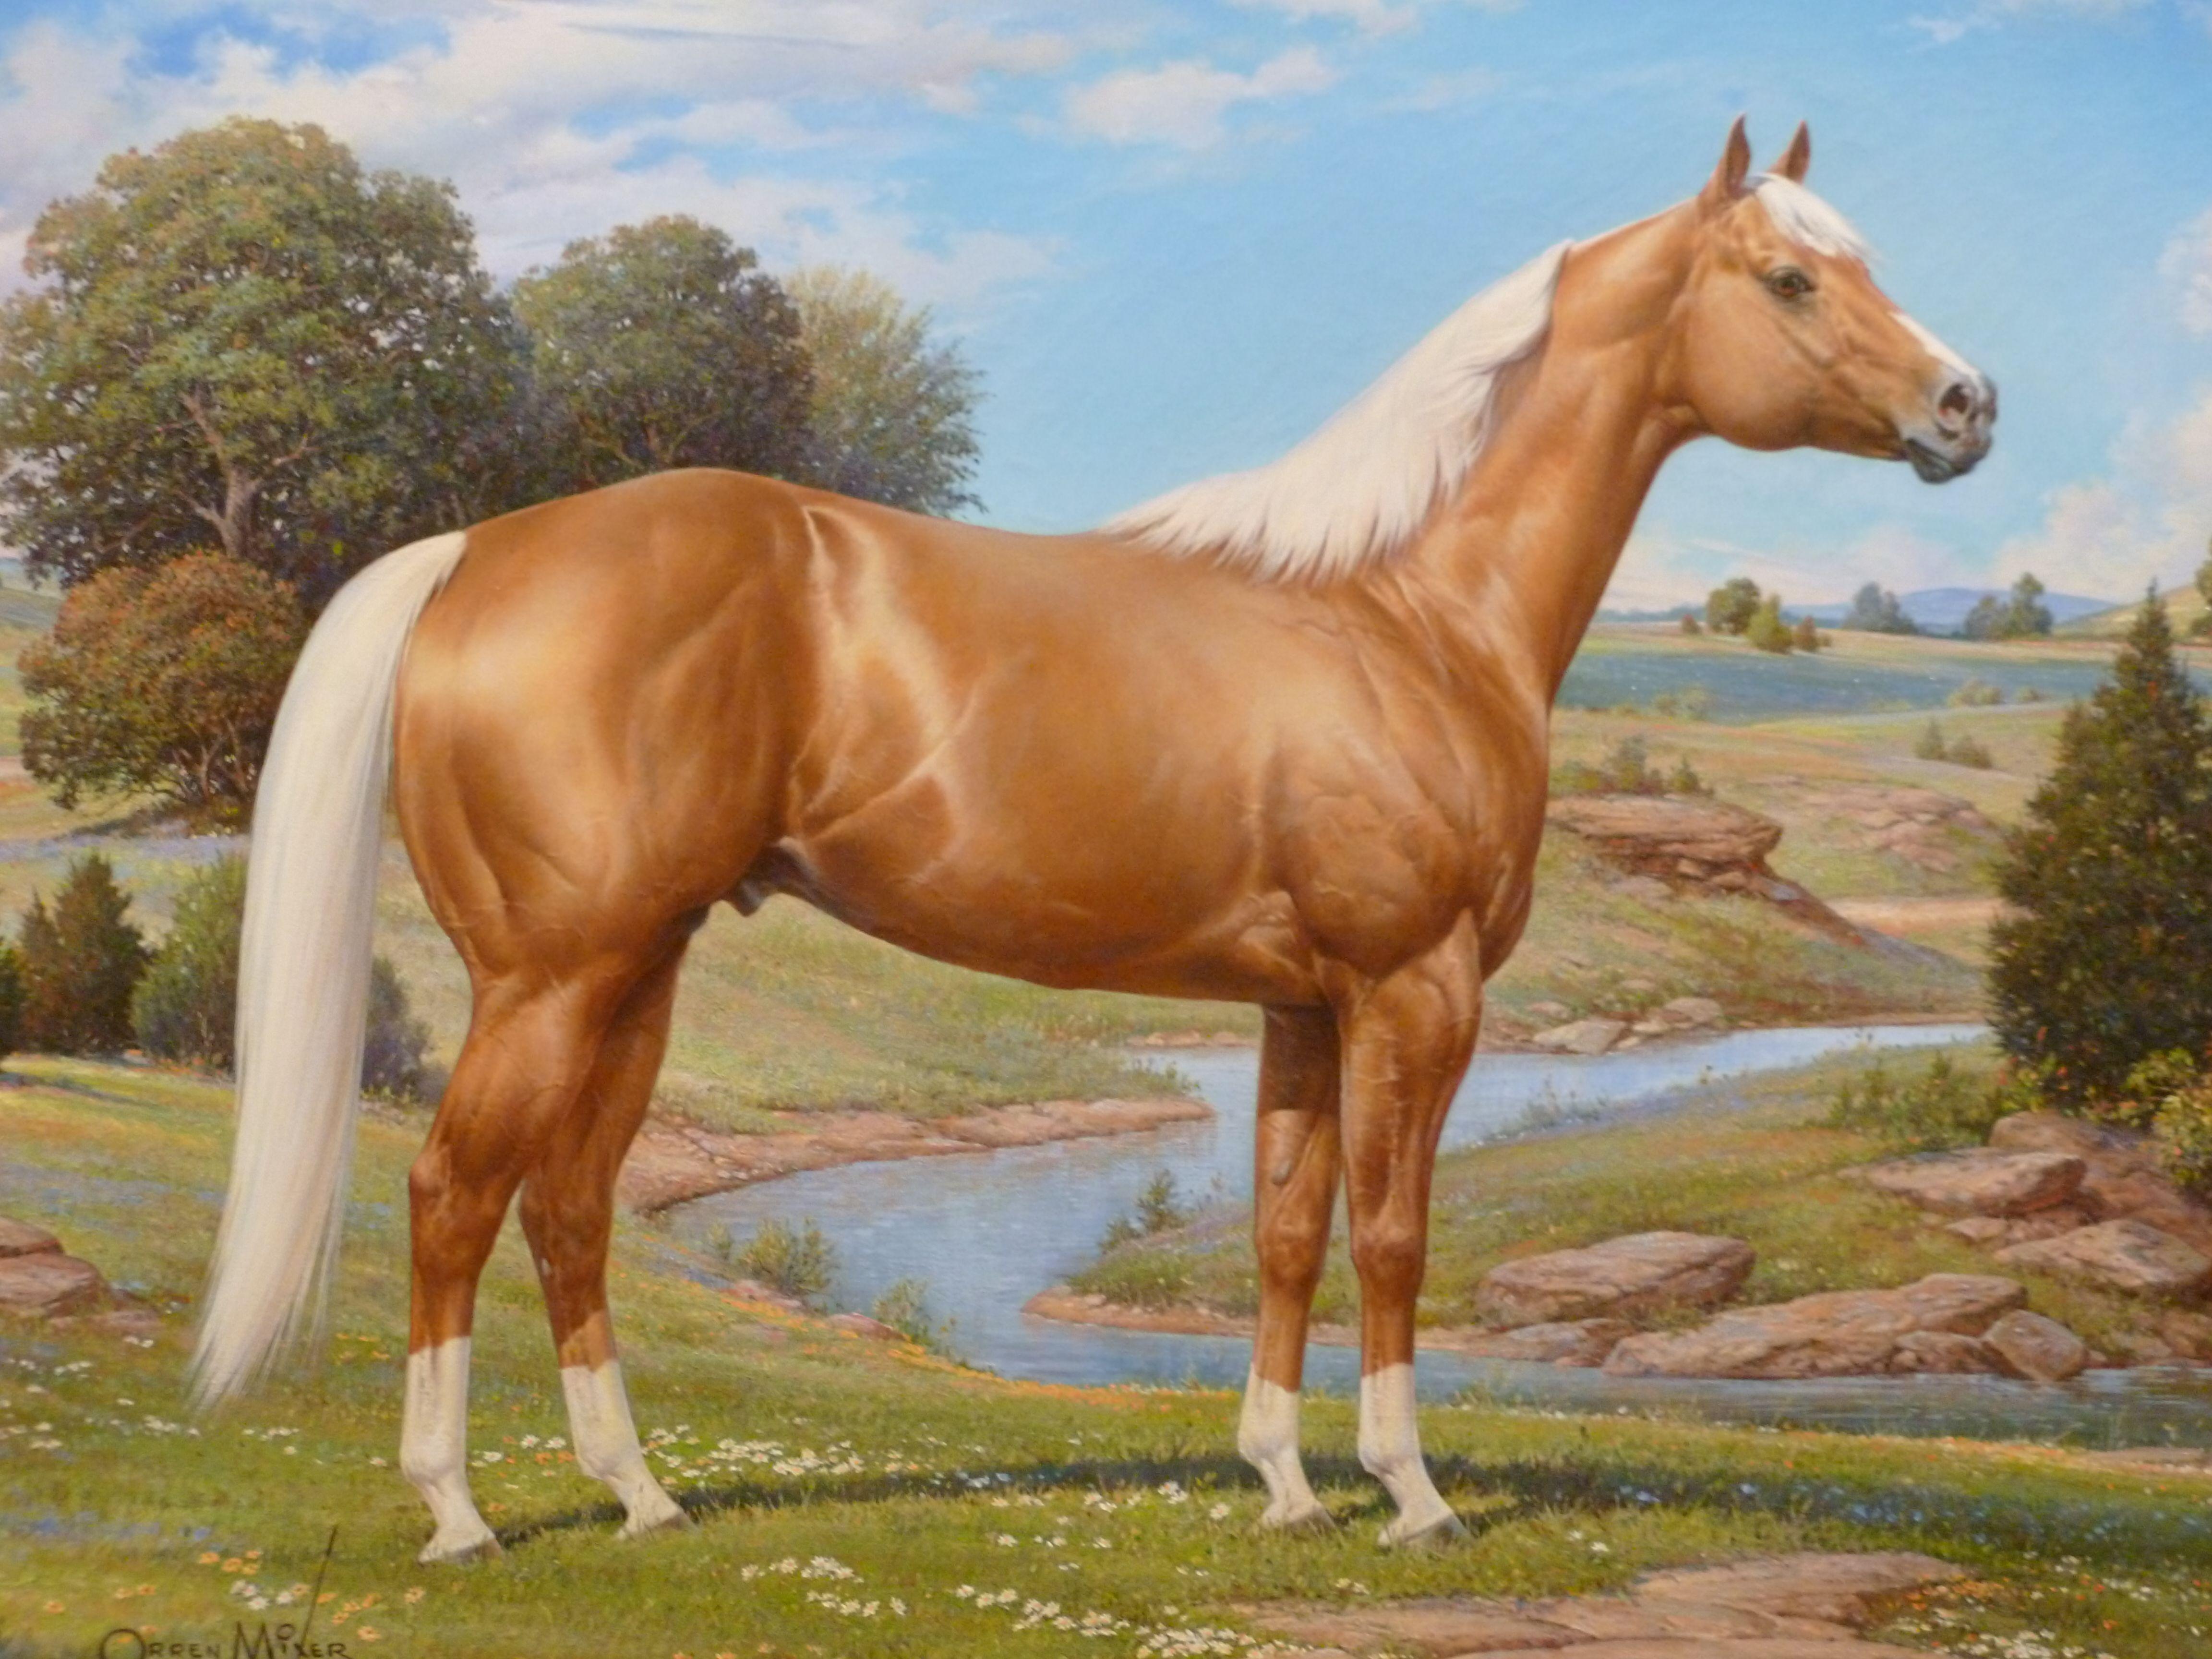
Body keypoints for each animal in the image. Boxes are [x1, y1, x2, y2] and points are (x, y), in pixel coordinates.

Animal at [192, 118, 1994, 1563]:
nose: (1965, 405)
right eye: (1786, 279)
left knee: (566, 1206)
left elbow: (1284, 1231)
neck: (1404, 611)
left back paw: (641, 1498)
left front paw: (1282, 1484)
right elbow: (1394, 1235)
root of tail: (474, 552)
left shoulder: (1300, 1006)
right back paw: (458, 1514)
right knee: (449, 1194)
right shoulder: (1414, 992)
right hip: (553, 978)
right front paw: (1408, 1493)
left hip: (634, 970)